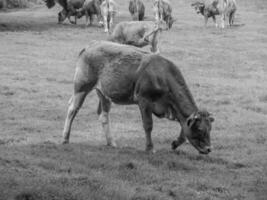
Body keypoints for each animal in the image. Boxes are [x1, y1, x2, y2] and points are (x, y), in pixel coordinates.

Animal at [62, 40, 216, 155]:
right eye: (200, 129)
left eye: (209, 129)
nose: (209, 149)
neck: (162, 75)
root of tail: (90, 45)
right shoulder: (144, 100)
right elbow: (148, 125)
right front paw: (150, 148)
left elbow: (184, 131)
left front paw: (175, 143)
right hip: (82, 86)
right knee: (73, 109)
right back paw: (65, 138)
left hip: (104, 93)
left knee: (103, 115)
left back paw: (111, 142)